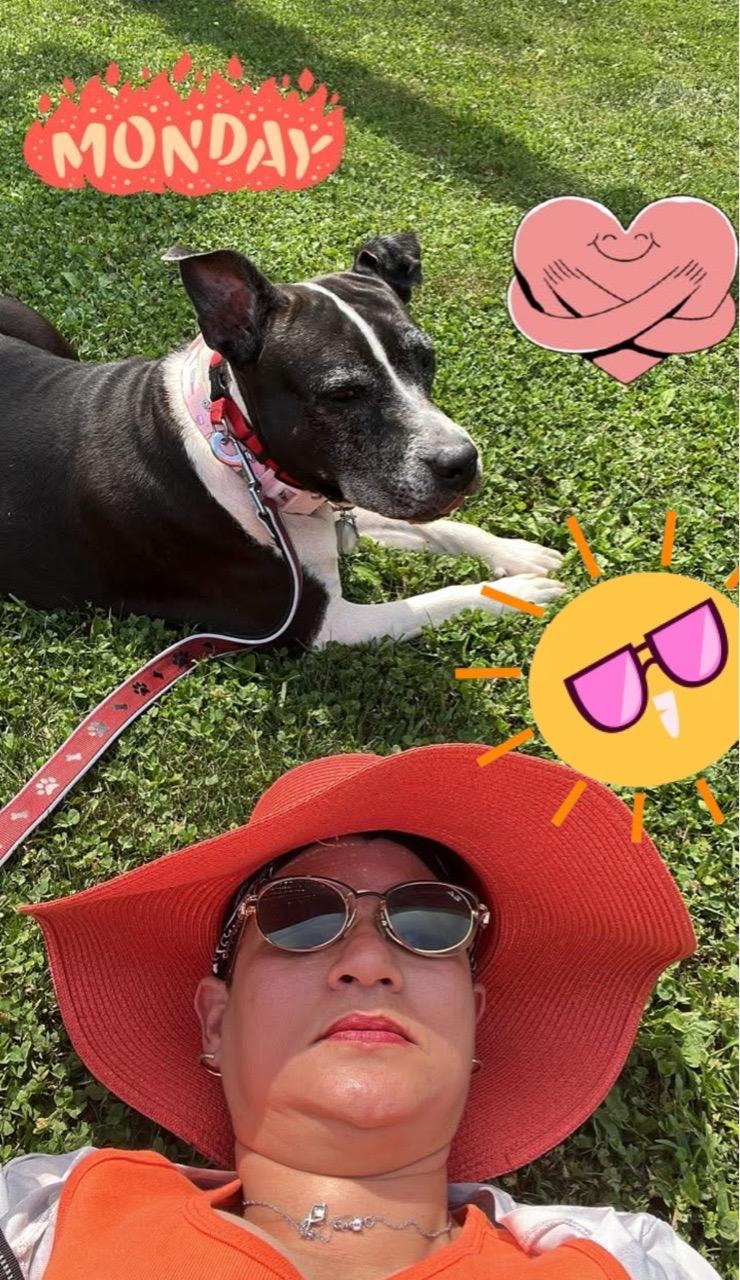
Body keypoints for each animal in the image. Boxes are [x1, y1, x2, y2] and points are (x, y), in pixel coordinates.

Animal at [0, 232, 564, 649]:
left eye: (427, 360)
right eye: (343, 393)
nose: (462, 462)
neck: (236, 449)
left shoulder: (344, 500)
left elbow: (442, 528)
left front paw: (518, 554)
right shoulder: (321, 625)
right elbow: (436, 601)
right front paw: (515, 592)